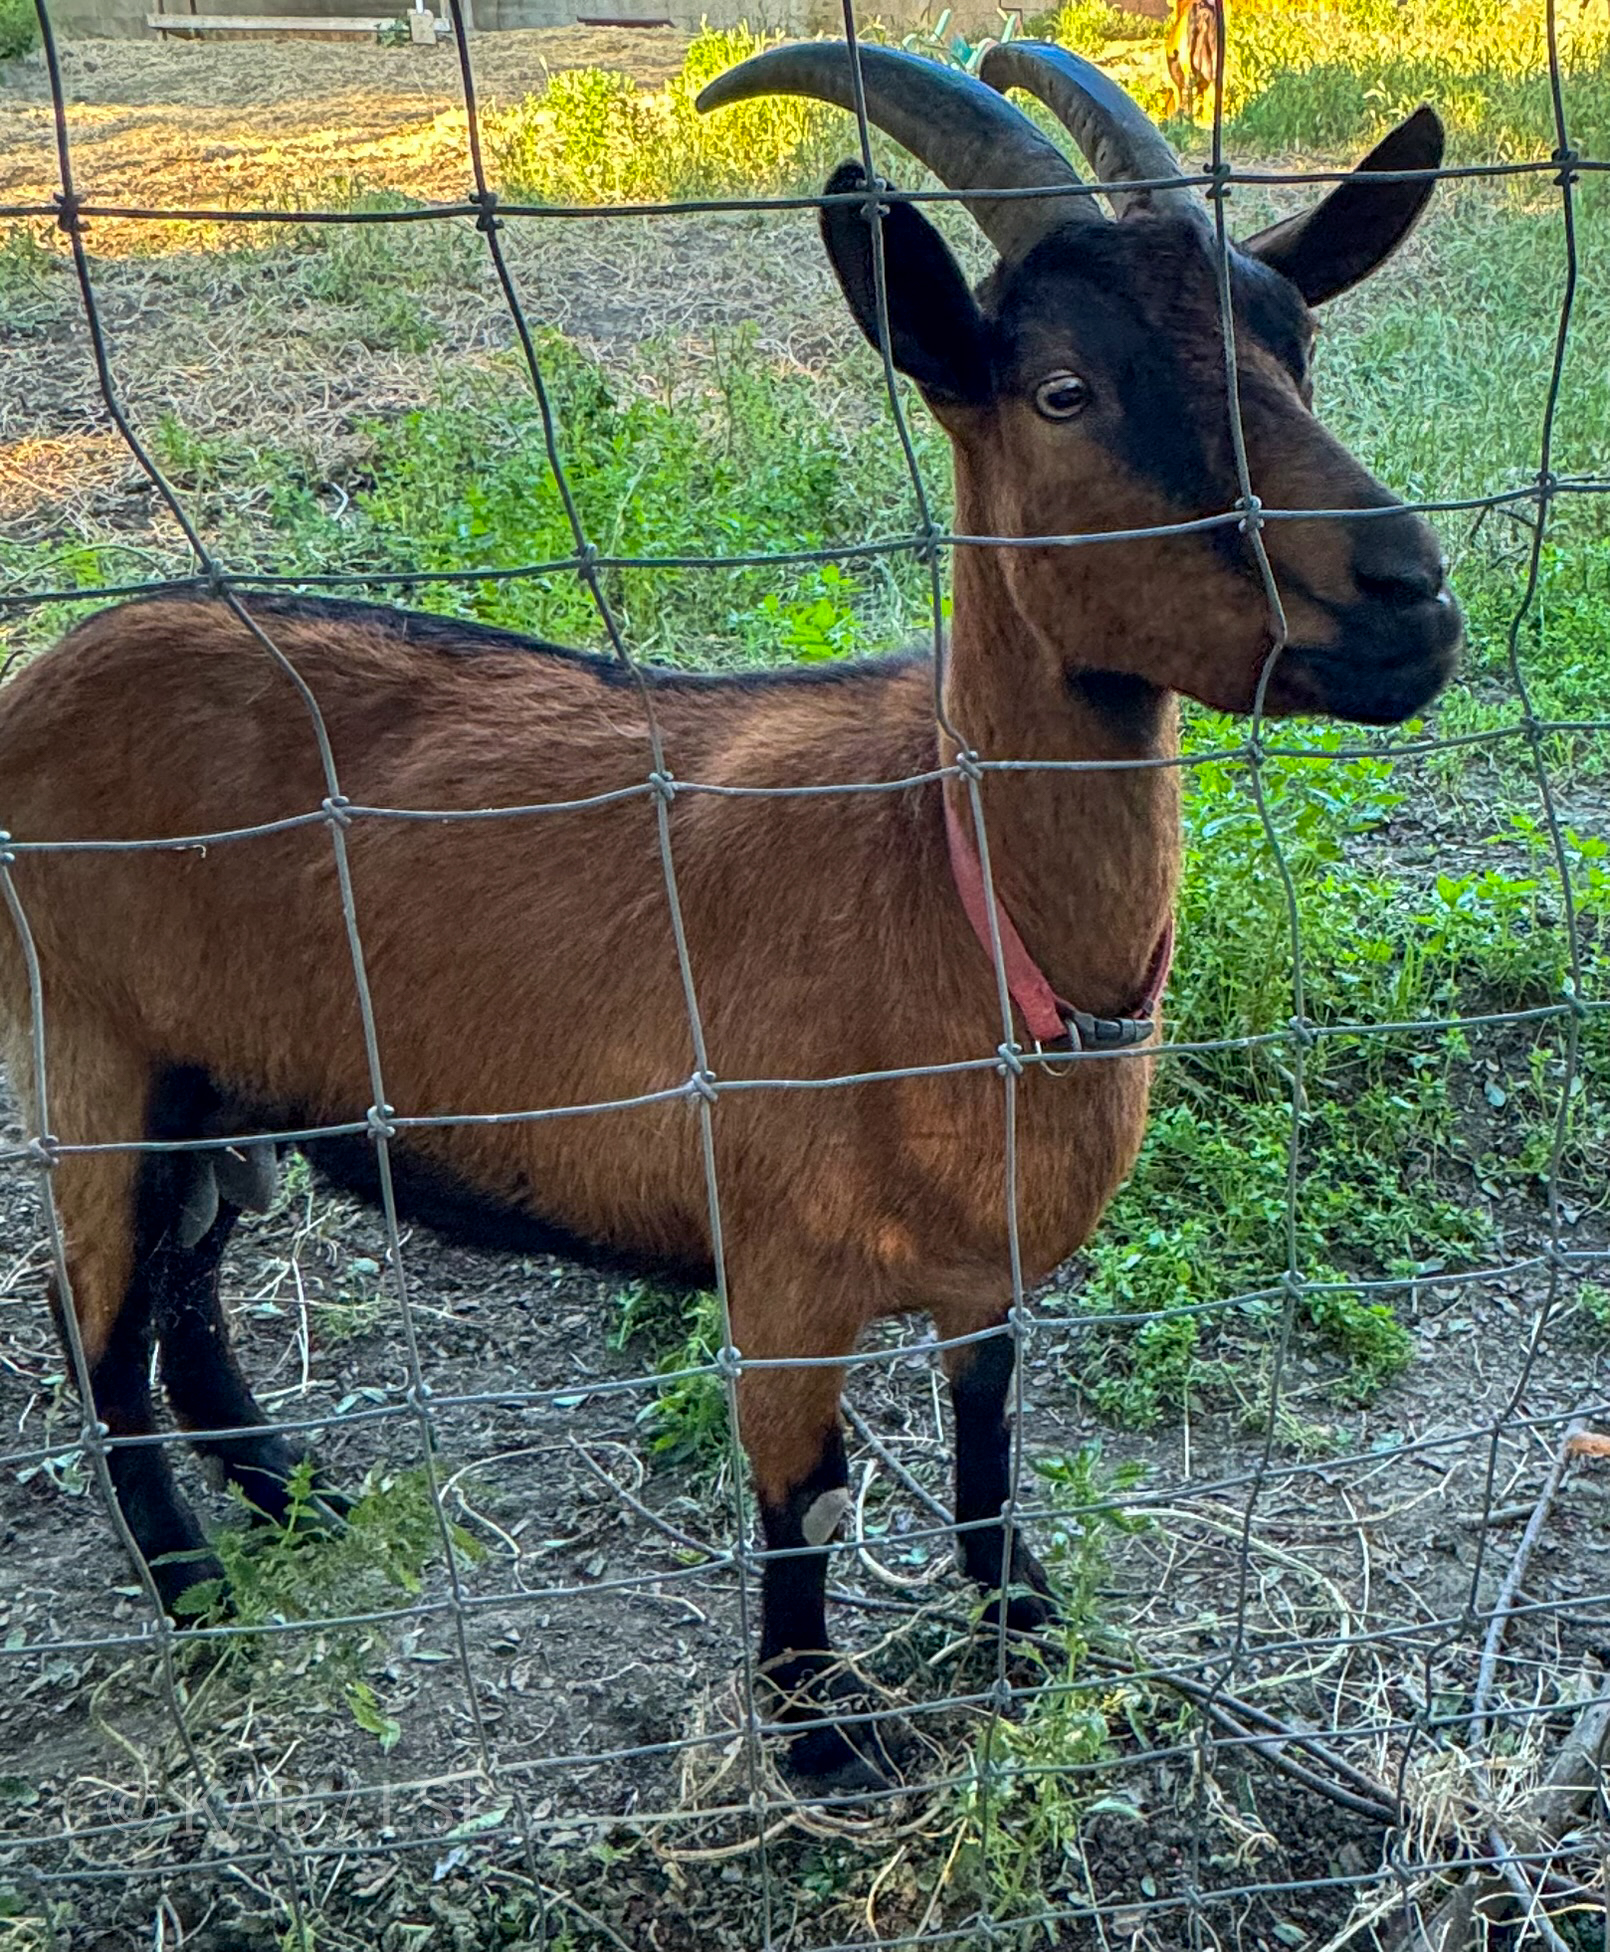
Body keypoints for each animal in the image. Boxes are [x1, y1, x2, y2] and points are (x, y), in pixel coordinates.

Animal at [0, 44, 1458, 1791]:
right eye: (1059, 391)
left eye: (1289, 343)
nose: (1409, 596)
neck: (947, 888)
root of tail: (42, 680)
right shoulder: (783, 1271)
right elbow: (802, 1497)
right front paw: (819, 1735)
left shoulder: (988, 1269)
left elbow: (987, 1445)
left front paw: (1024, 1632)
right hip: (90, 1050)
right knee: (97, 1328)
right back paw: (202, 1600)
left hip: (225, 1080)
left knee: (188, 1284)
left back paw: (300, 1504)